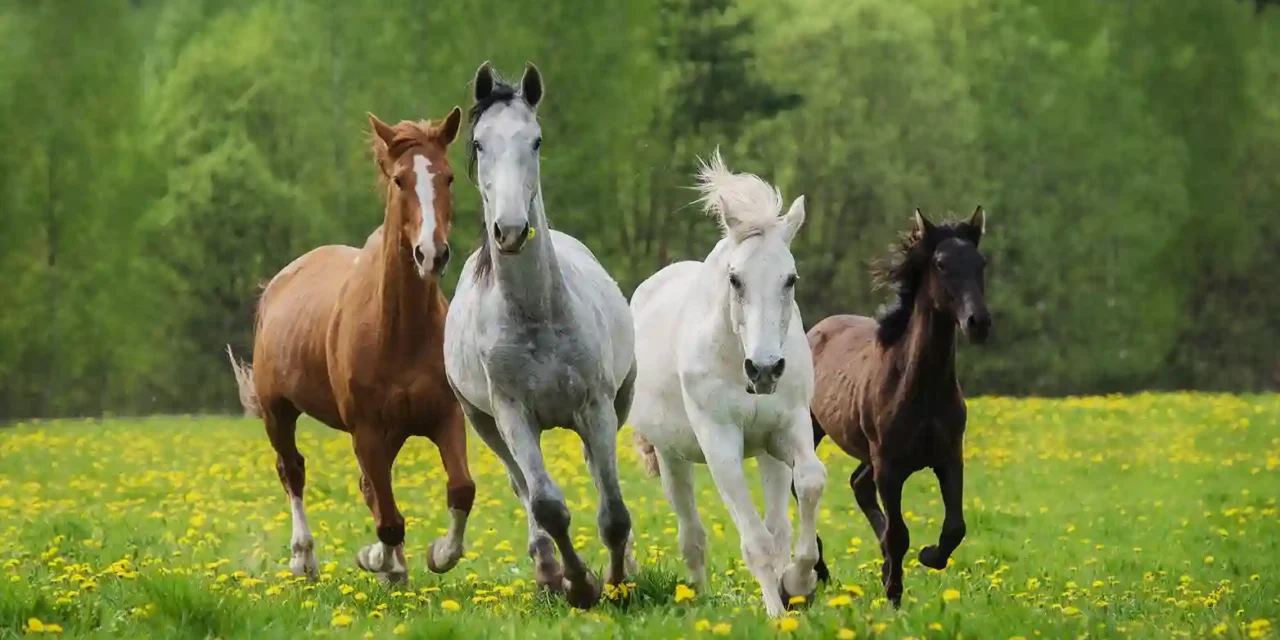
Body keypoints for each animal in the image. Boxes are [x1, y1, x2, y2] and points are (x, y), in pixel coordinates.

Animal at [225, 108, 473, 584]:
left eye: (449, 177)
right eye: (399, 179)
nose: (432, 254)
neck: (398, 331)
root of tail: (278, 283)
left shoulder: (444, 416)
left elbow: (460, 489)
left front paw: (436, 554)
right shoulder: (367, 431)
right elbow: (389, 519)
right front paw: (378, 560)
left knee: (370, 488)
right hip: (278, 411)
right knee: (293, 471)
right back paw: (304, 558)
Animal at [443, 62, 637, 610]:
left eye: (536, 140)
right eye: (479, 142)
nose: (509, 230)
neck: (537, 315)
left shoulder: (596, 406)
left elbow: (614, 512)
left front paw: (617, 583)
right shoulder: (512, 415)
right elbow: (547, 504)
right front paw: (579, 585)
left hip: (618, 404)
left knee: (597, 472)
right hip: (485, 425)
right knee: (523, 488)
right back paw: (548, 571)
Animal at [629, 151, 826, 618]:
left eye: (790, 279)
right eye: (735, 279)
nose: (765, 370)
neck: (735, 357)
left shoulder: (787, 429)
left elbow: (810, 482)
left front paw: (798, 581)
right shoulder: (721, 446)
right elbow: (756, 543)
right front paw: (777, 614)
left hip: (767, 455)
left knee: (777, 523)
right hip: (672, 458)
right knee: (692, 535)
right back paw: (698, 598)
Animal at [805, 207, 990, 607]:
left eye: (981, 262)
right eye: (941, 263)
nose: (979, 323)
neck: (918, 388)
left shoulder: (949, 457)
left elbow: (955, 527)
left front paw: (927, 557)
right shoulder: (889, 466)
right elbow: (898, 533)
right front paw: (894, 597)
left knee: (858, 484)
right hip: (811, 430)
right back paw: (819, 570)